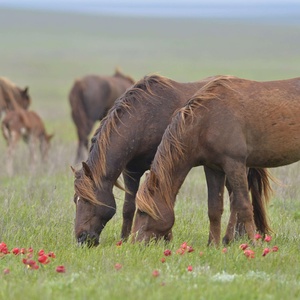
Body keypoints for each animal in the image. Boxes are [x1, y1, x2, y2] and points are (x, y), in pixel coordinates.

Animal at [132, 75, 298, 246]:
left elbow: (244, 206)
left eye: (142, 212)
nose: (134, 243)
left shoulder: (234, 164)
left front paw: (253, 243)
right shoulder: (213, 168)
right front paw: (213, 245)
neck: (206, 121)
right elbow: (214, 209)